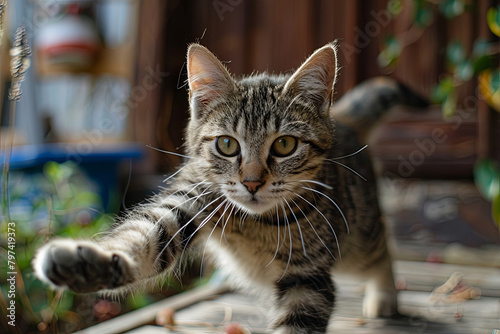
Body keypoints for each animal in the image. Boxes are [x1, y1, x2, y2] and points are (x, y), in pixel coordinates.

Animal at [34, 43, 426, 332]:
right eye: (226, 145)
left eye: (285, 145)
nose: (252, 182)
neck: (254, 224)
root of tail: (341, 117)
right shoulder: (190, 197)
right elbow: (144, 237)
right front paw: (89, 262)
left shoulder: (307, 278)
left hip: (357, 238)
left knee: (382, 250)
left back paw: (384, 296)